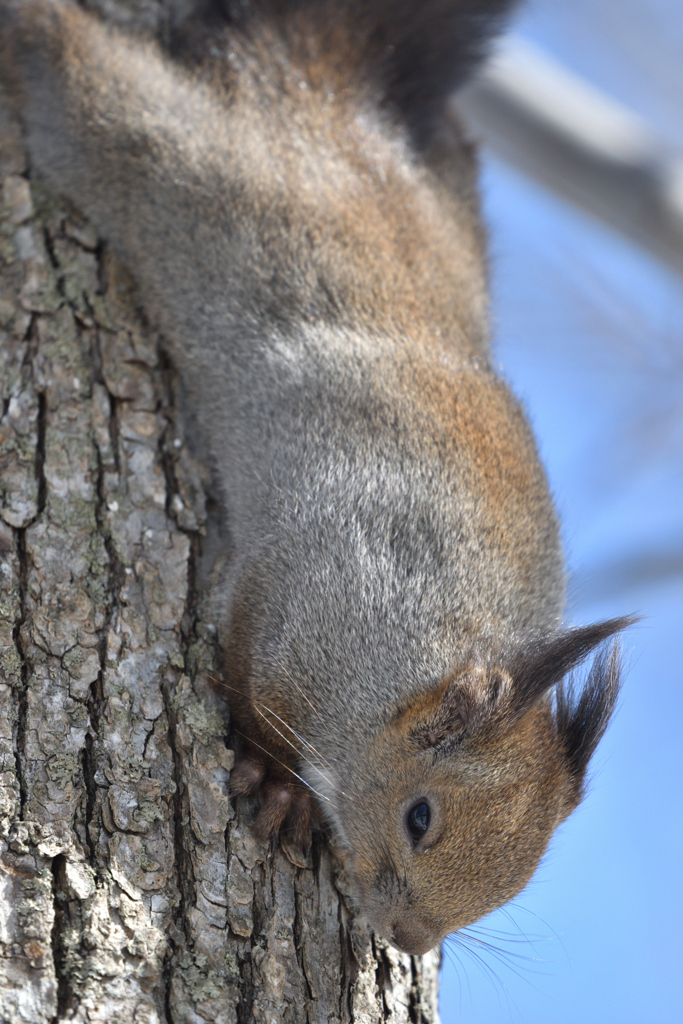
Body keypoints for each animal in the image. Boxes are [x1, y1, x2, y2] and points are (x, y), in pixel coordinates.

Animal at [0, 0, 634, 958]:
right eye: (419, 817)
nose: (408, 940)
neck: (404, 661)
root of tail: (319, 103)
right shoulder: (301, 593)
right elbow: (244, 674)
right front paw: (278, 783)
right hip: (151, 150)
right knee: (79, 67)